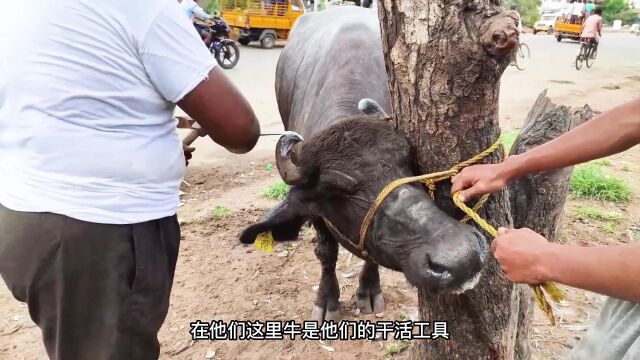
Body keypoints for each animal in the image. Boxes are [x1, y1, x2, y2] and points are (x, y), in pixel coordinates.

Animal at [238, 6, 488, 320]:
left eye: (407, 160)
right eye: (337, 189)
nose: (461, 257)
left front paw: (369, 289)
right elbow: (326, 252)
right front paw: (327, 300)